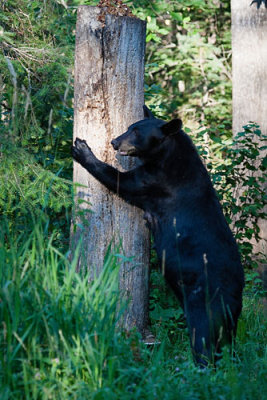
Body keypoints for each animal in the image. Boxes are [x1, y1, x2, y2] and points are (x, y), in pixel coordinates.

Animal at [71, 106, 245, 366]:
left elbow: (120, 180)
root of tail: (238, 293)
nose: (114, 142)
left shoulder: (157, 180)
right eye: (129, 127)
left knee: (203, 334)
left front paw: (82, 149)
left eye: (135, 132)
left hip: (206, 297)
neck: (168, 155)